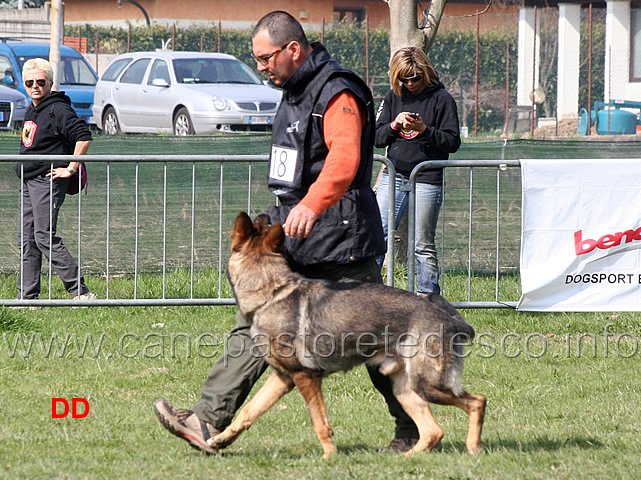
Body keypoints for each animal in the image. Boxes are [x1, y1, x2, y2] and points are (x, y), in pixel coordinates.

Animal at [210, 214, 484, 458]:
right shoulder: (283, 378)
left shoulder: (306, 377)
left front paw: (329, 457)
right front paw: (220, 440)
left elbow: (320, 422)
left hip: (427, 385)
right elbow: (248, 411)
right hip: (406, 390)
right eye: (262, 224)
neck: (271, 292)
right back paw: (405, 457)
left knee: (477, 402)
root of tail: (448, 317)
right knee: (433, 431)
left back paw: (473, 447)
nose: (266, 214)